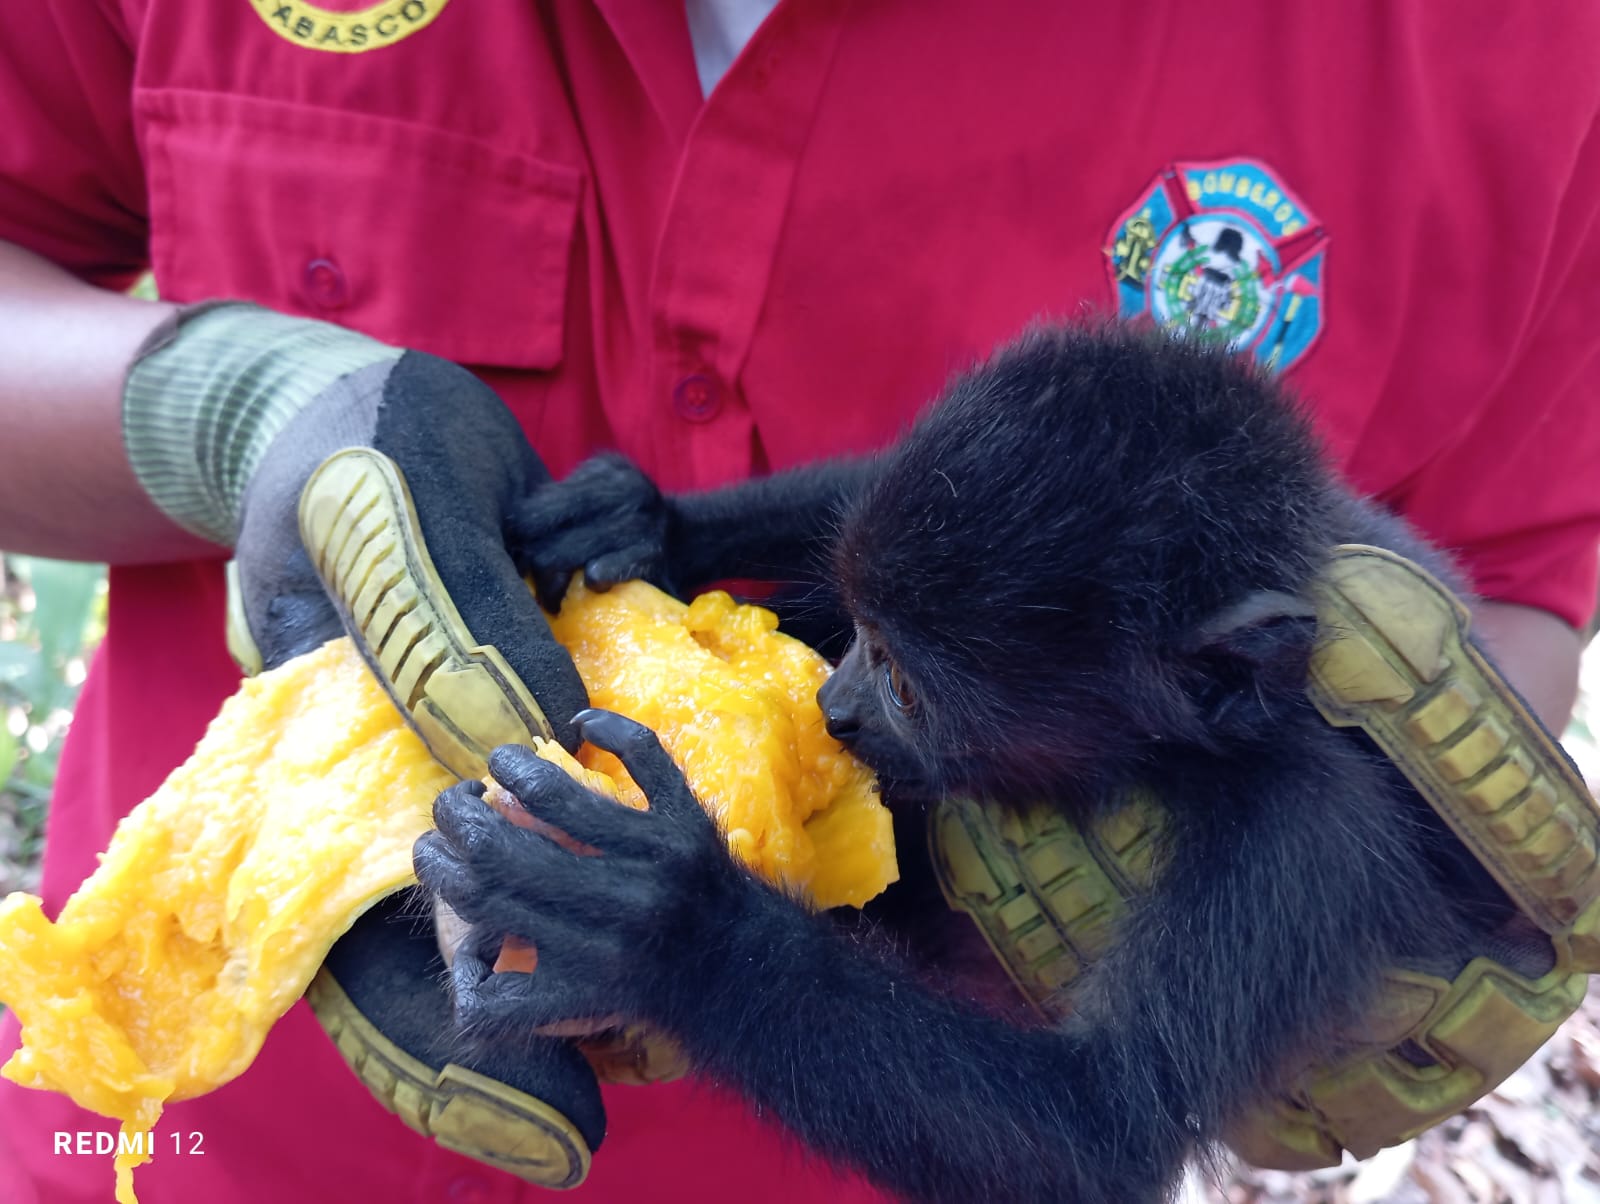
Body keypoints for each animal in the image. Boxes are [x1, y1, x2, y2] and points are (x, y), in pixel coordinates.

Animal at [409, 321, 1523, 1204]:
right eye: (864, 632)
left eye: (905, 685)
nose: (835, 705)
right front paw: (648, 520)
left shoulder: (1297, 837)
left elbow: (1096, 1133)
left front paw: (660, 921)